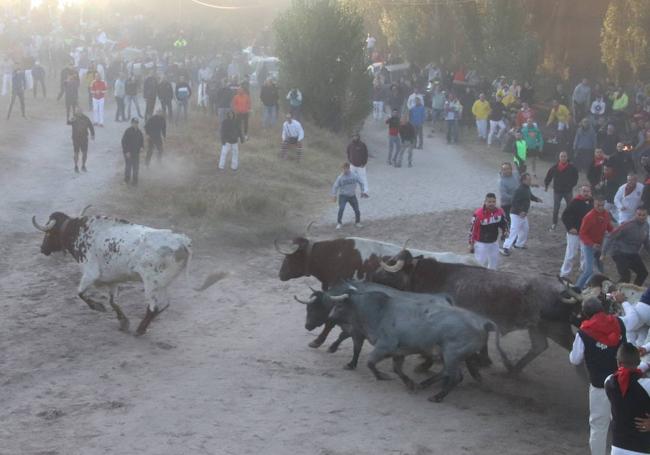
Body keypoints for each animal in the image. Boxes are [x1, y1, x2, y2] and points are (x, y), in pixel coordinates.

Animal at [31, 207, 191, 334]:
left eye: (48, 234)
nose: (42, 249)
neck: (79, 232)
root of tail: (182, 242)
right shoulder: (112, 280)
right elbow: (113, 301)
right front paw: (123, 322)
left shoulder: (90, 274)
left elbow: (80, 293)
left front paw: (98, 307)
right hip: (161, 284)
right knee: (163, 305)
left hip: (152, 284)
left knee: (154, 307)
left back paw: (140, 330)